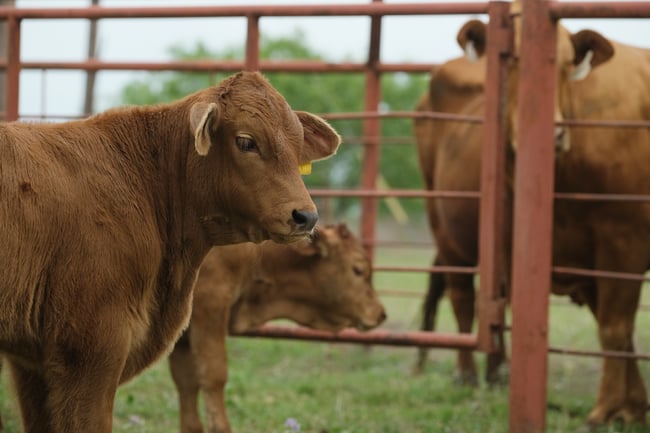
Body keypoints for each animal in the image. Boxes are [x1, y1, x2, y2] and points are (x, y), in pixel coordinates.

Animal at [167, 223, 384, 432]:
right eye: (358, 270)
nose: (381, 313)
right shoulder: (210, 306)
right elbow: (214, 375)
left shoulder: (182, 336)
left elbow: (186, 382)